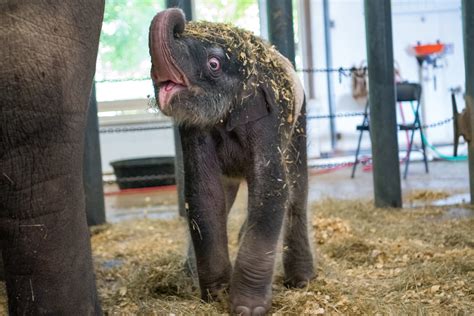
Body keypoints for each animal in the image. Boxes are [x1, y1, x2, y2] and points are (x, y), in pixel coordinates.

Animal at [148, 8, 314, 314]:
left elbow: (271, 189)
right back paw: (187, 275)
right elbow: (203, 194)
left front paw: (247, 308)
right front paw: (216, 295)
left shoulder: (268, 119)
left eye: (214, 64)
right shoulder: (193, 129)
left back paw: (301, 280)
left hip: (299, 123)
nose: (179, 19)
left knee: (297, 190)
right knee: (225, 196)